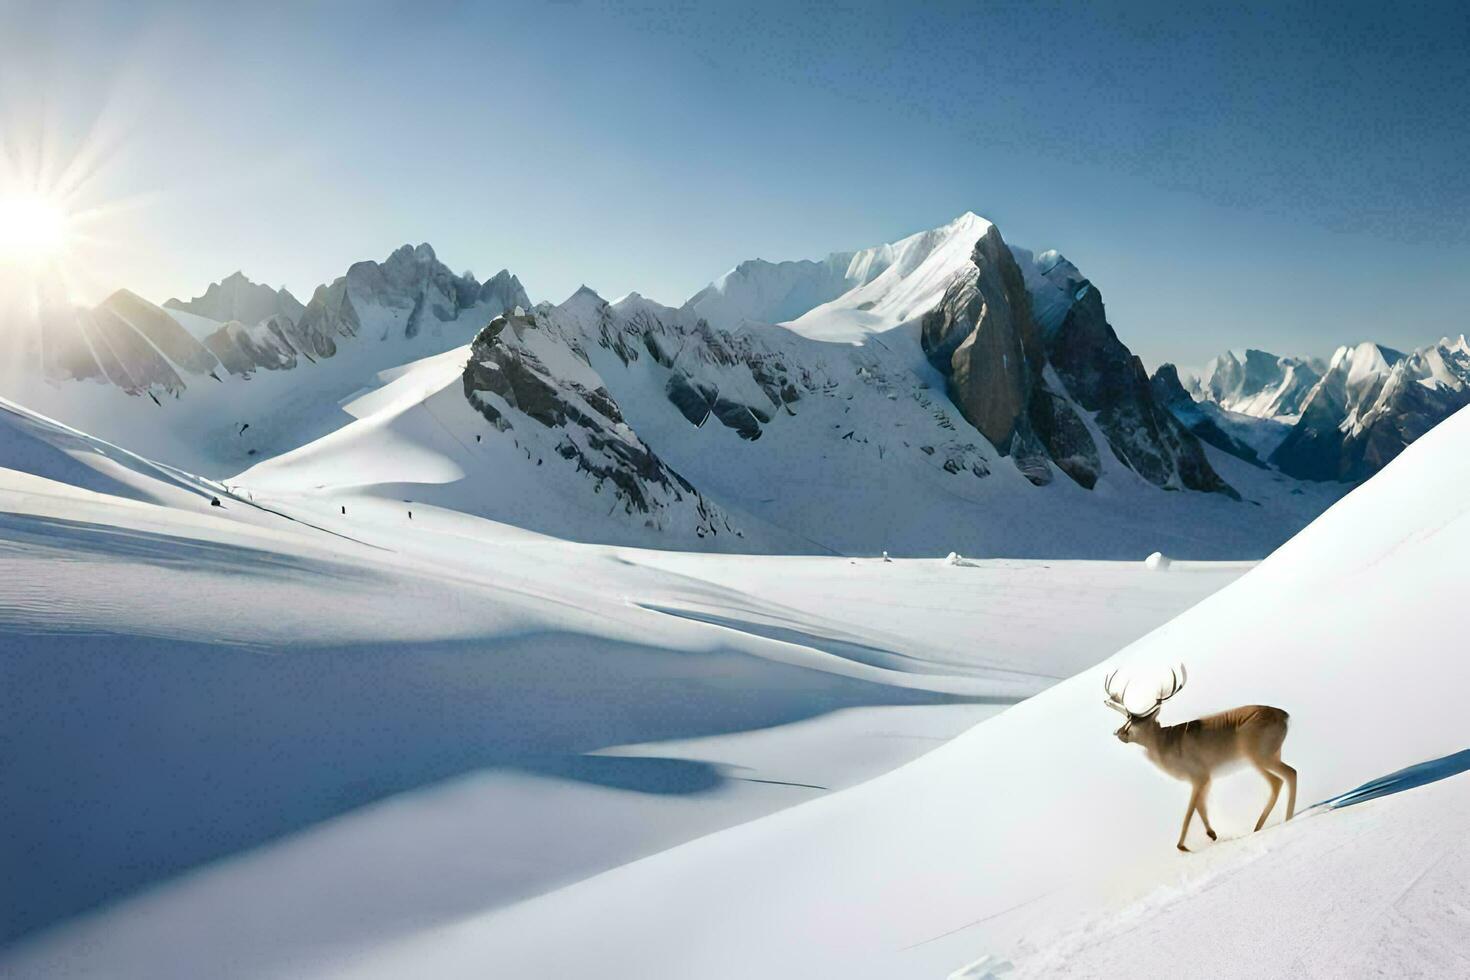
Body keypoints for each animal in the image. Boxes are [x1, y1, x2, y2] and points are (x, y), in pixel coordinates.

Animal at [1105, 667, 1299, 852]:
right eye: (1127, 719)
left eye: (1134, 722)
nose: (1118, 732)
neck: (1165, 743)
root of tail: (1283, 715)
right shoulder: (1205, 779)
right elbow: (1200, 806)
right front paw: (1212, 834)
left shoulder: (1199, 776)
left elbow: (1190, 810)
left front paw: (1182, 846)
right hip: (1271, 754)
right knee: (1281, 780)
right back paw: (1260, 826)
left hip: (1259, 757)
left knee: (1286, 776)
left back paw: (1284, 820)